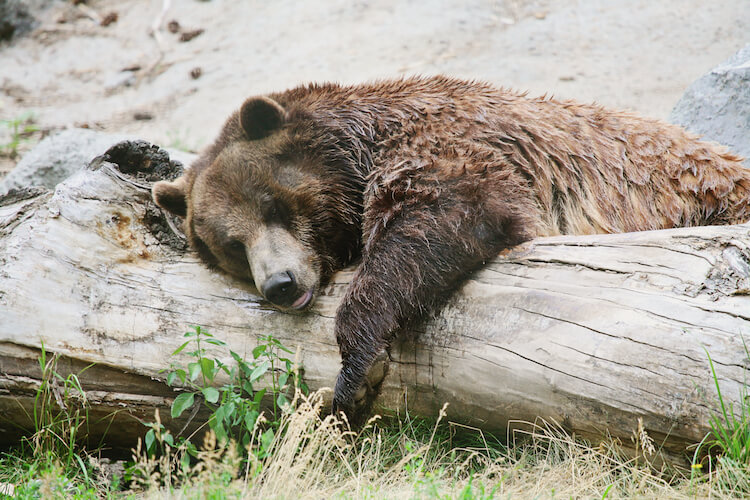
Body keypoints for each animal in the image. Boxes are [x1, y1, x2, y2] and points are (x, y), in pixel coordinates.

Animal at [151, 74, 750, 418]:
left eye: (274, 205)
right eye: (231, 243)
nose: (280, 283)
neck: (354, 152)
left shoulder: (439, 141)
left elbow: (444, 212)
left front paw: (356, 372)